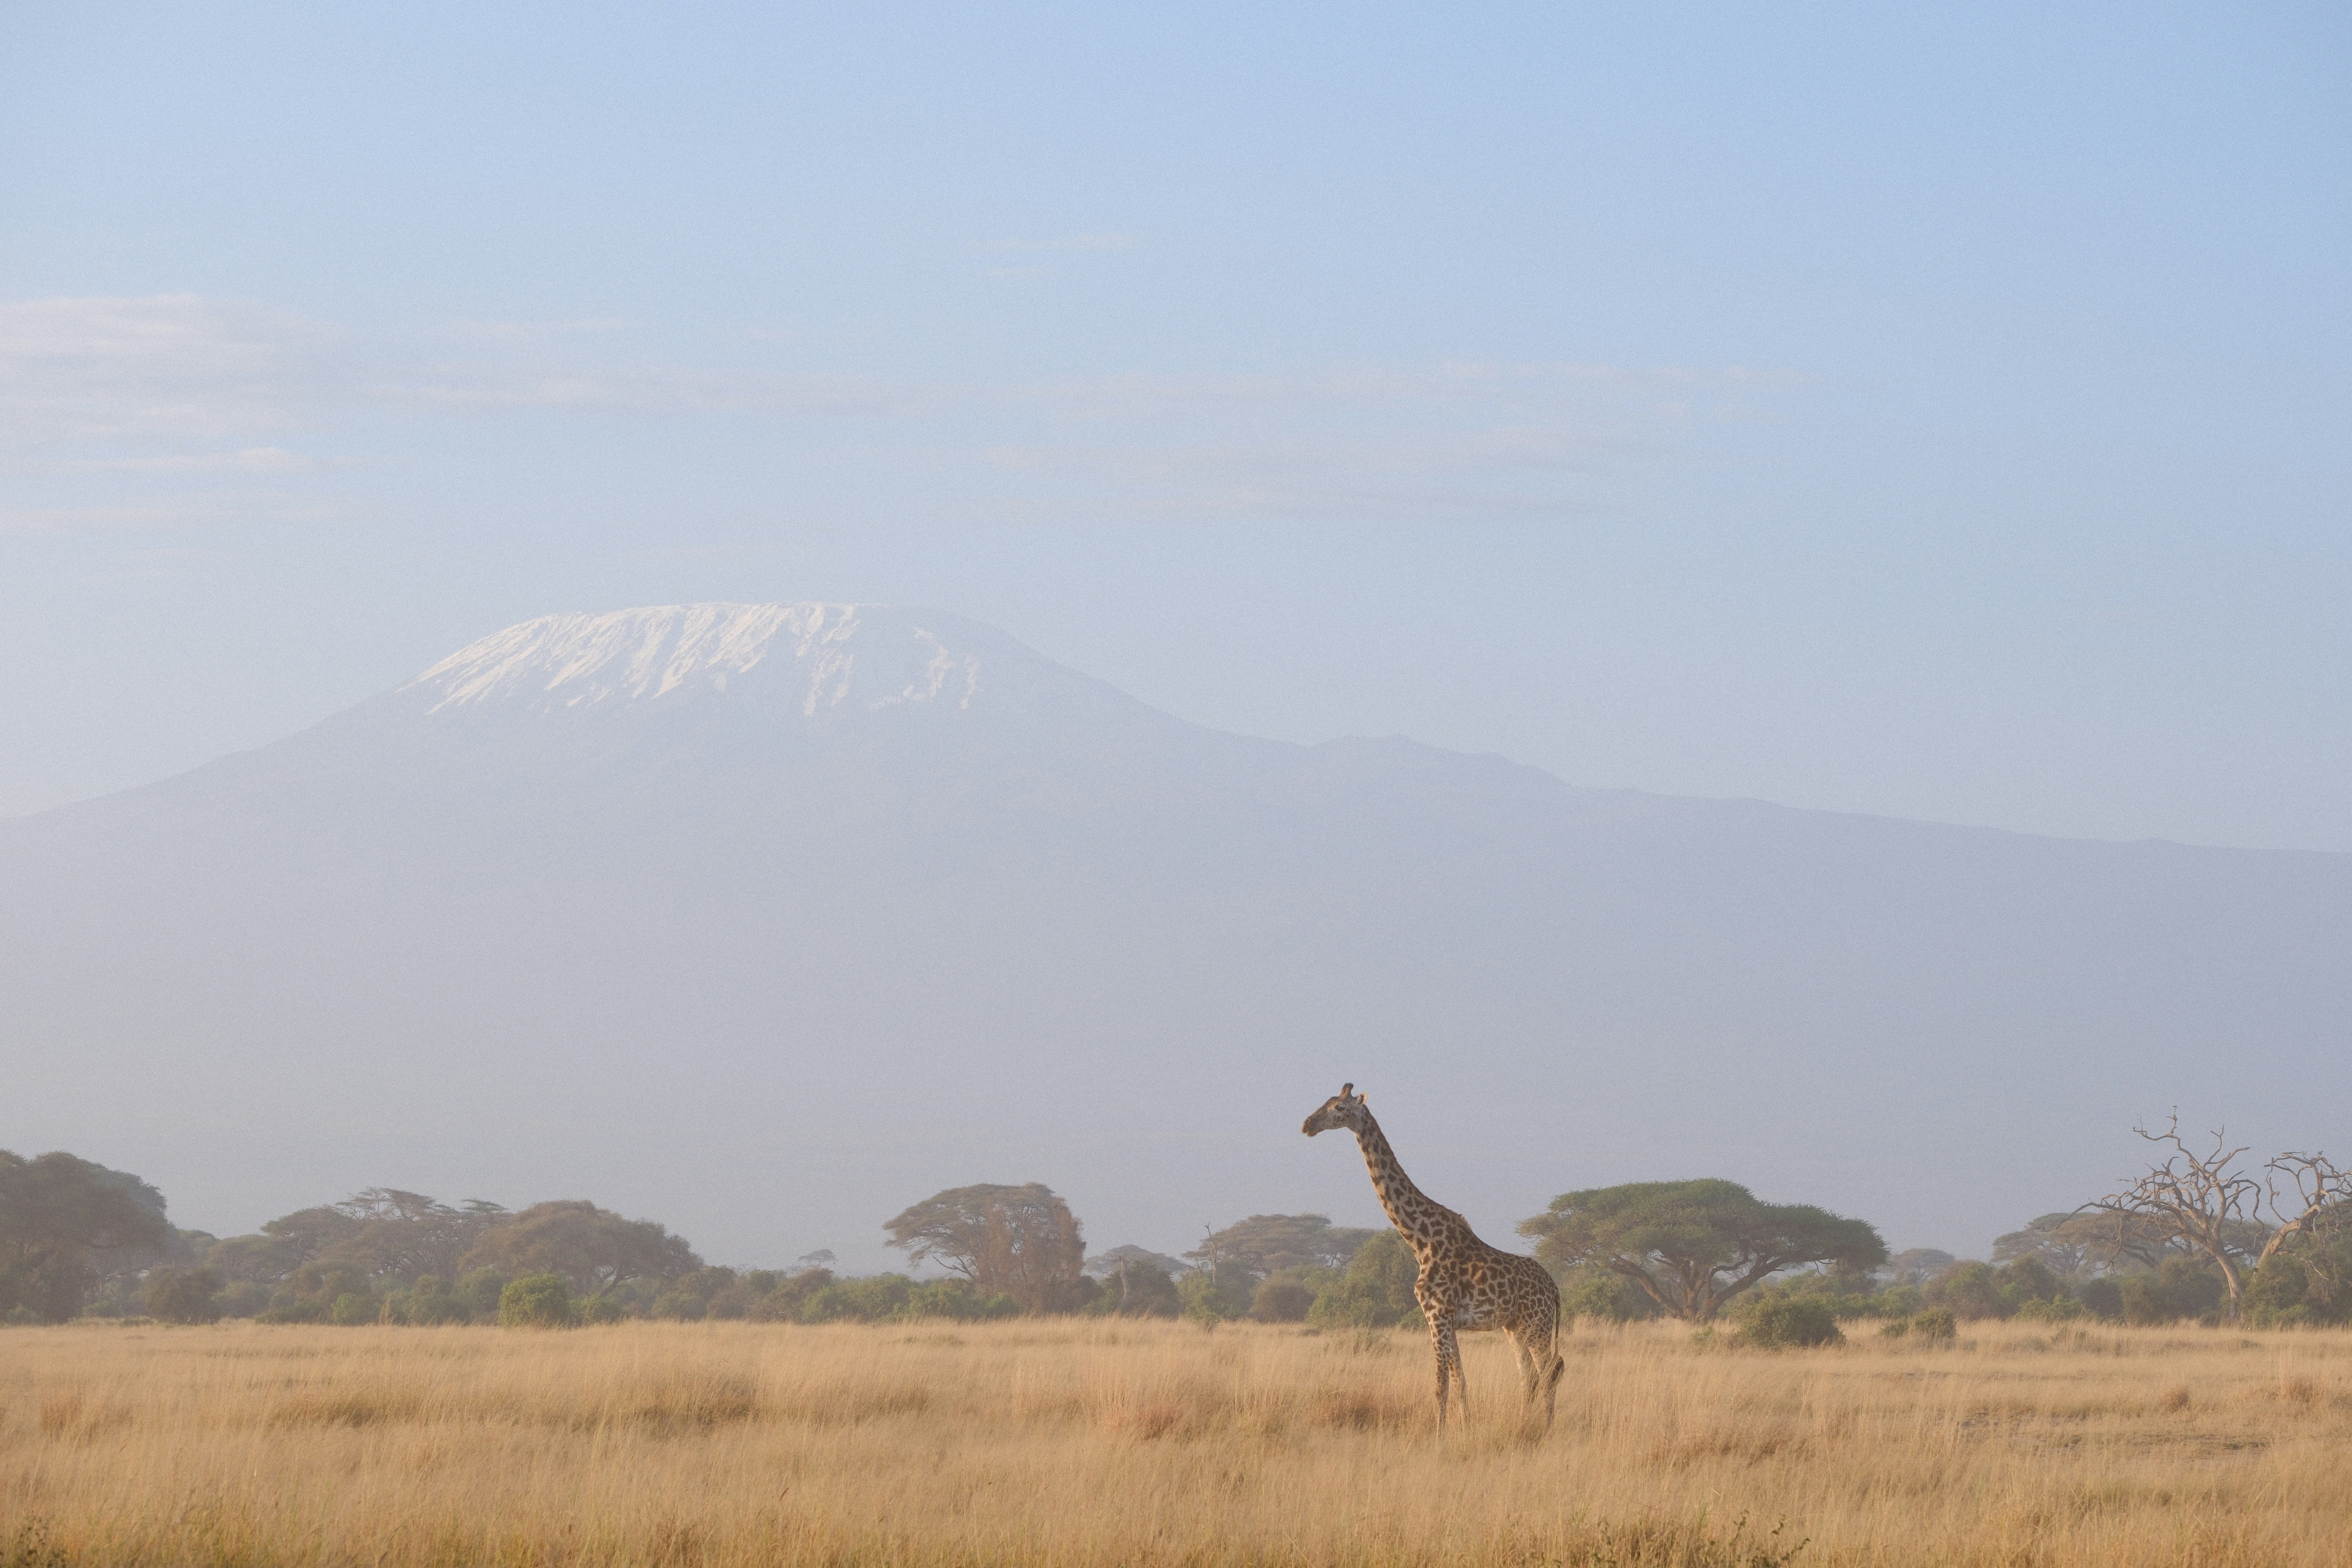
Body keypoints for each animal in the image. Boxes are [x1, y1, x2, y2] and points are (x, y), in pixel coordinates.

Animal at [1303, 1083, 1565, 1432]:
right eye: (1327, 1102)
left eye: (1340, 1109)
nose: (1307, 1125)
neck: (1420, 1240)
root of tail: (1555, 1289)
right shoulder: (1446, 1319)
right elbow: (1460, 1381)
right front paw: (1464, 1429)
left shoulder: (1437, 1315)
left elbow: (1441, 1384)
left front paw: (1439, 1436)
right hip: (1516, 1327)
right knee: (1531, 1377)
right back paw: (1525, 1424)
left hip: (1538, 1324)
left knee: (1549, 1372)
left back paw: (1546, 1428)